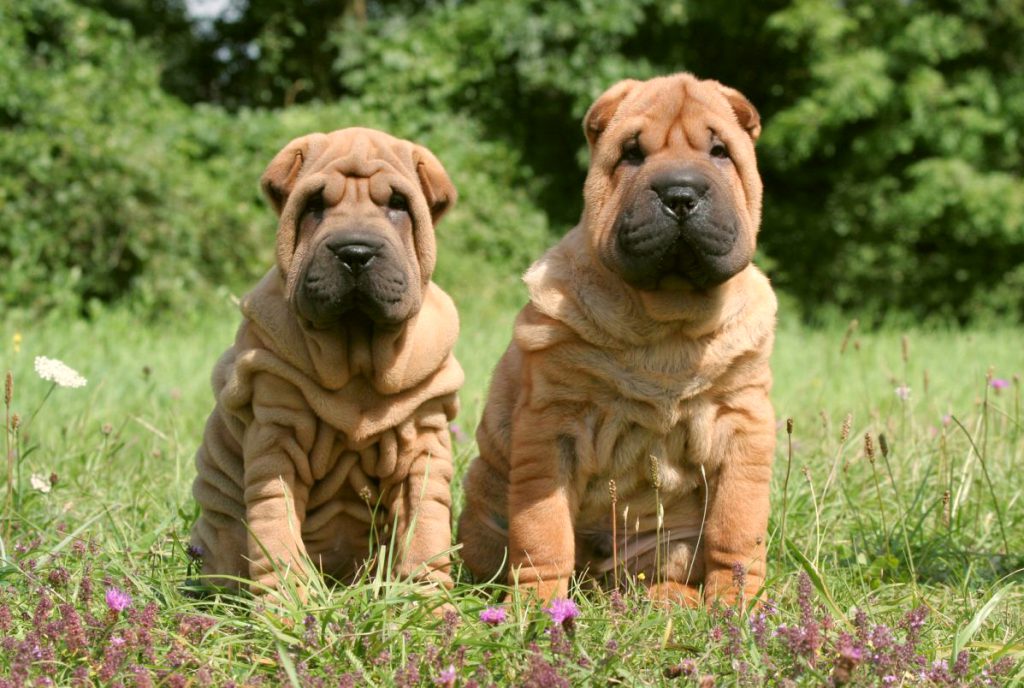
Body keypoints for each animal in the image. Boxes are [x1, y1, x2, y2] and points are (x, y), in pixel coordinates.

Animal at [190, 129, 462, 597]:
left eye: (398, 204)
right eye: (315, 206)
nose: (355, 252)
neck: (356, 355)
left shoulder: (423, 441)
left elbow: (424, 526)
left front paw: (426, 600)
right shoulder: (277, 435)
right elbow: (275, 527)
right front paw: (286, 603)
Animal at [458, 72, 774, 606]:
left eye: (719, 151)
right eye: (632, 153)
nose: (680, 193)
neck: (668, 317)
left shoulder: (744, 422)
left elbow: (736, 528)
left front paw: (738, 606)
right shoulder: (552, 425)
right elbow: (542, 531)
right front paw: (537, 608)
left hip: (668, 545)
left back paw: (675, 599)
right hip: (484, 504)